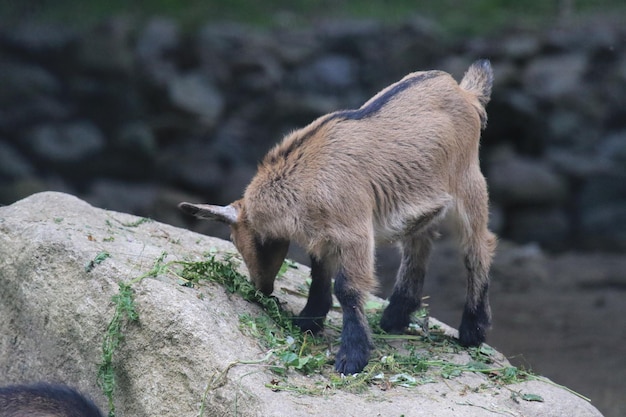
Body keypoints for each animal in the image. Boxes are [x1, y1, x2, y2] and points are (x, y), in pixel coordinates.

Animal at [178, 60, 494, 376]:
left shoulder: (354, 232)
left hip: (469, 186)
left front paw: (351, 357)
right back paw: (394, 318)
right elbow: (319, 273)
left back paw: (472, 332)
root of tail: (465, 92)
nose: (263, 288)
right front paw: (308, 321)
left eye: (248, 242)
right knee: (419, 245)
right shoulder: (323, 235)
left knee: (478, 249)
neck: (305, 175)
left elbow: (347, 288)